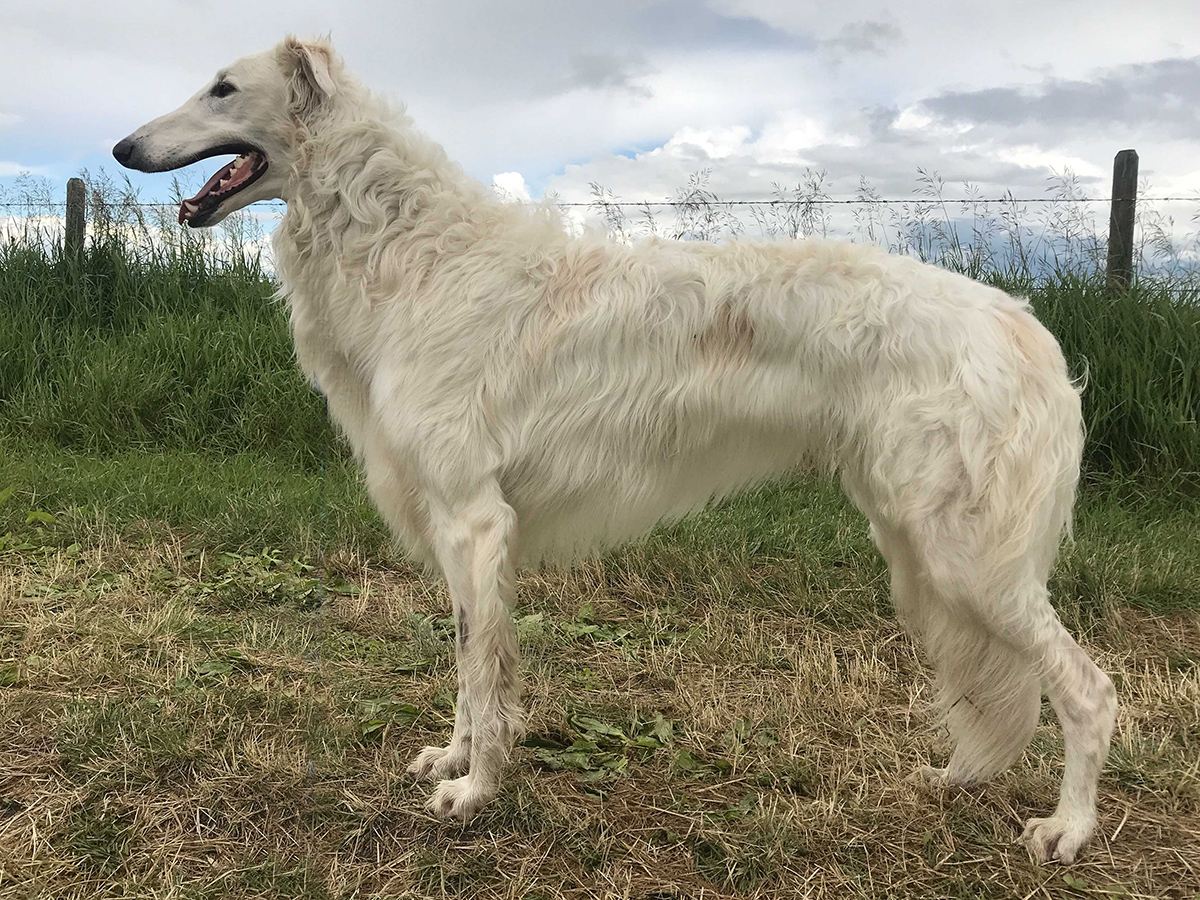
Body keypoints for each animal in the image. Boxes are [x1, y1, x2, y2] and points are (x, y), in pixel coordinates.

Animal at [112, 35, 1113, 868]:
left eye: (222, 86)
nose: (121, 149)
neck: (416, 253)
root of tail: (1030, 330)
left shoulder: (476, 520)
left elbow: (485, 672)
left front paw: (476, 791)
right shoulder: (459, 529)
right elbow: (471, 668)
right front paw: (453, 758)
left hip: (969, 559)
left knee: (1088, 689)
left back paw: (1066, 829)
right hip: (920, 549)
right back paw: (954, 777)